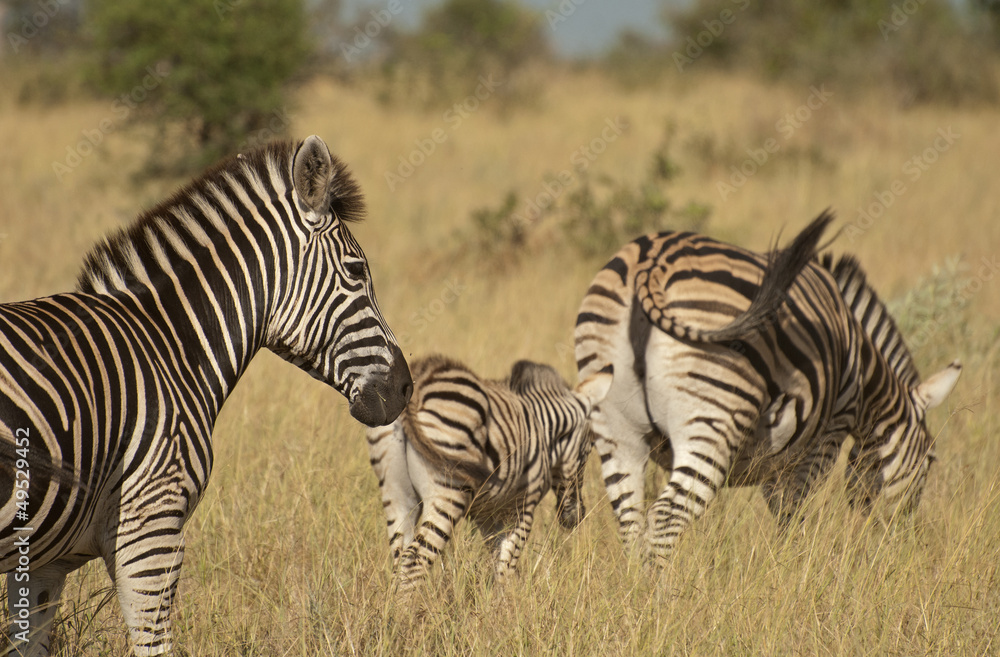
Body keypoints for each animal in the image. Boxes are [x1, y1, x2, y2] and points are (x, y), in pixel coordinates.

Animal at [0, 135, 413, 656]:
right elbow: (154, 645)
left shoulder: (44, 560)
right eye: (357, 271)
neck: (165, 342)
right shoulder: (151, 524)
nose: (404, 388)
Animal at [365, 354, 612, 594]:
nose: (577, 517)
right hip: (448, 489)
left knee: (399, 556)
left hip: (395, 492)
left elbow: (496, 561)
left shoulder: (488, 514)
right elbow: (507, 566)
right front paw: (510, 605)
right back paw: (407, 609)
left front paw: (495, 603)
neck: (543, 430)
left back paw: (394, 608)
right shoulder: (522, 508)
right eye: (590, 447)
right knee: (415, 559)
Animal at [574, 210, 961, 560]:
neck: (865, 373)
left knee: (631, 521)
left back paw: (635, 590)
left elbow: (780, 505)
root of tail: (651, 264)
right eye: (931, 459)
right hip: (712, 414)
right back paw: (661, 595)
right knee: (666, 517)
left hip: (613, 423)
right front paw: (795, 568)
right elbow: (791, 511)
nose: (903, 538)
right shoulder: (825, 436)